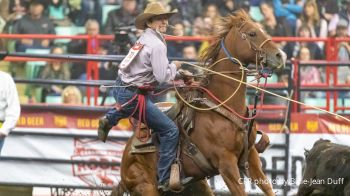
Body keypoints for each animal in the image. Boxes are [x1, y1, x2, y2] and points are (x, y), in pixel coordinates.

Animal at [113, 11, 286, 196]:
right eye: (252, 33)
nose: (280, 55)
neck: (223, 106)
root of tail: (125, 160)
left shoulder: (251, 155)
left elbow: (268, 188)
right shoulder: (227, 164)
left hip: (196, 185)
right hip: (146, 188)